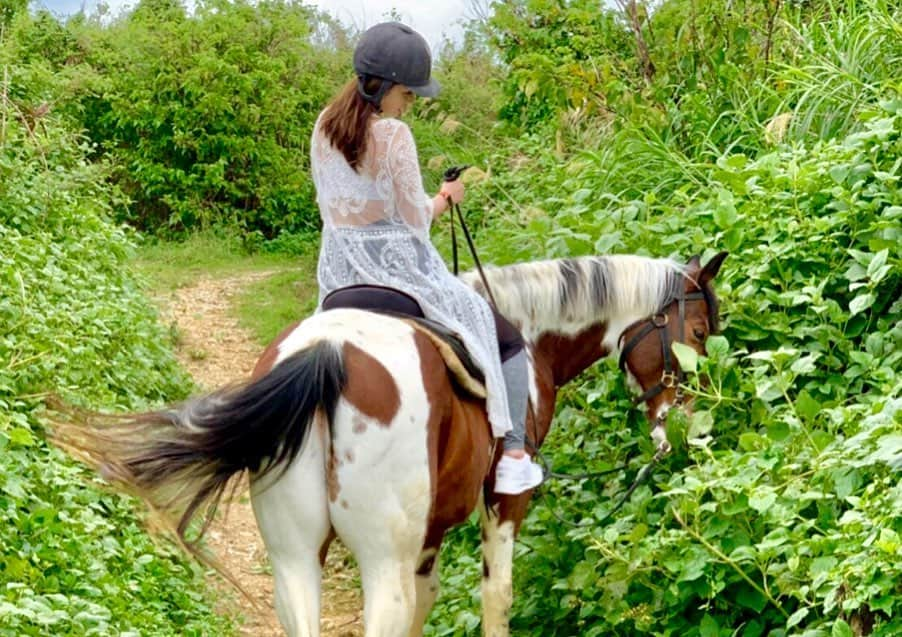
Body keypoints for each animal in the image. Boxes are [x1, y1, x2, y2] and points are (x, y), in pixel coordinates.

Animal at [60, 251, 728, 636]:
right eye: (697, 332)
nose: (692, 429)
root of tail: (325, 355)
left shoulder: (426, 535)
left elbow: (426, 604)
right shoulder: (502, 504)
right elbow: (497, 597)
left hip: (294, 558)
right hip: (378, 560)